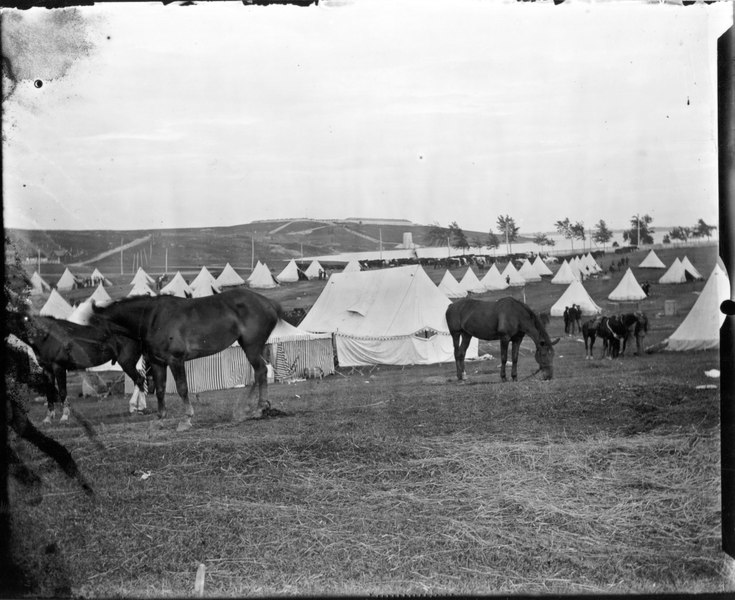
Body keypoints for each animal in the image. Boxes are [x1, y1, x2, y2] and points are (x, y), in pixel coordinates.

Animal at [6, 312, 148, 424]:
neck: (47, 336)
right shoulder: (47, 370)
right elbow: (49, 393)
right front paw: (48, 418)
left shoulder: (59, 368)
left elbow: (63, 392)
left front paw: (64, 417)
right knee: (140, 381)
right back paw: (139, 408)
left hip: (127, 363)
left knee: (139, 380)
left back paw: (135, 407)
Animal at [93, 288, 284, 428]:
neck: (154, 318)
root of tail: (268, 303)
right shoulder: (157, 363)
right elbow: (160, 390)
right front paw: (160, 418)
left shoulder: (175, 360)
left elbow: (182, 388)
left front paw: (186, 419)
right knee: (259, 373)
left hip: (251, 347)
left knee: (261, 371)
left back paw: (257, 408)